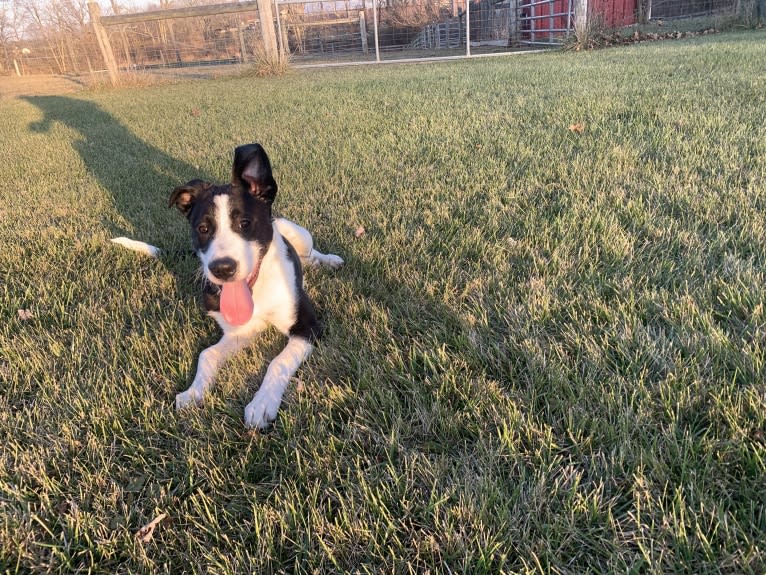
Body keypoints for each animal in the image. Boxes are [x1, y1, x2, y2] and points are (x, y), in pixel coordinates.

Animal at [112, 143, 344, 428]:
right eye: (202, 229)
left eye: (245, 223)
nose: (222, 269)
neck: (258, 291)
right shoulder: (240, 331)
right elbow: (207, 354)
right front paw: (193, 392)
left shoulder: (308, 326)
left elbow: (278, 361)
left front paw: (262, 404)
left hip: (298, 232)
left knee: (310, 254)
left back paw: (329, 260)